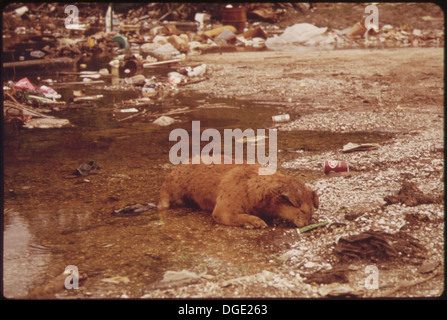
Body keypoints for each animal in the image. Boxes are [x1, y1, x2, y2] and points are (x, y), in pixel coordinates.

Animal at [158, 158, 318, 228]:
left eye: (311, 211)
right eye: (303, 211)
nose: (307, 223)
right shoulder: (222, 212)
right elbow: (241, 217)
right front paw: (256, 222)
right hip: (172, 190)